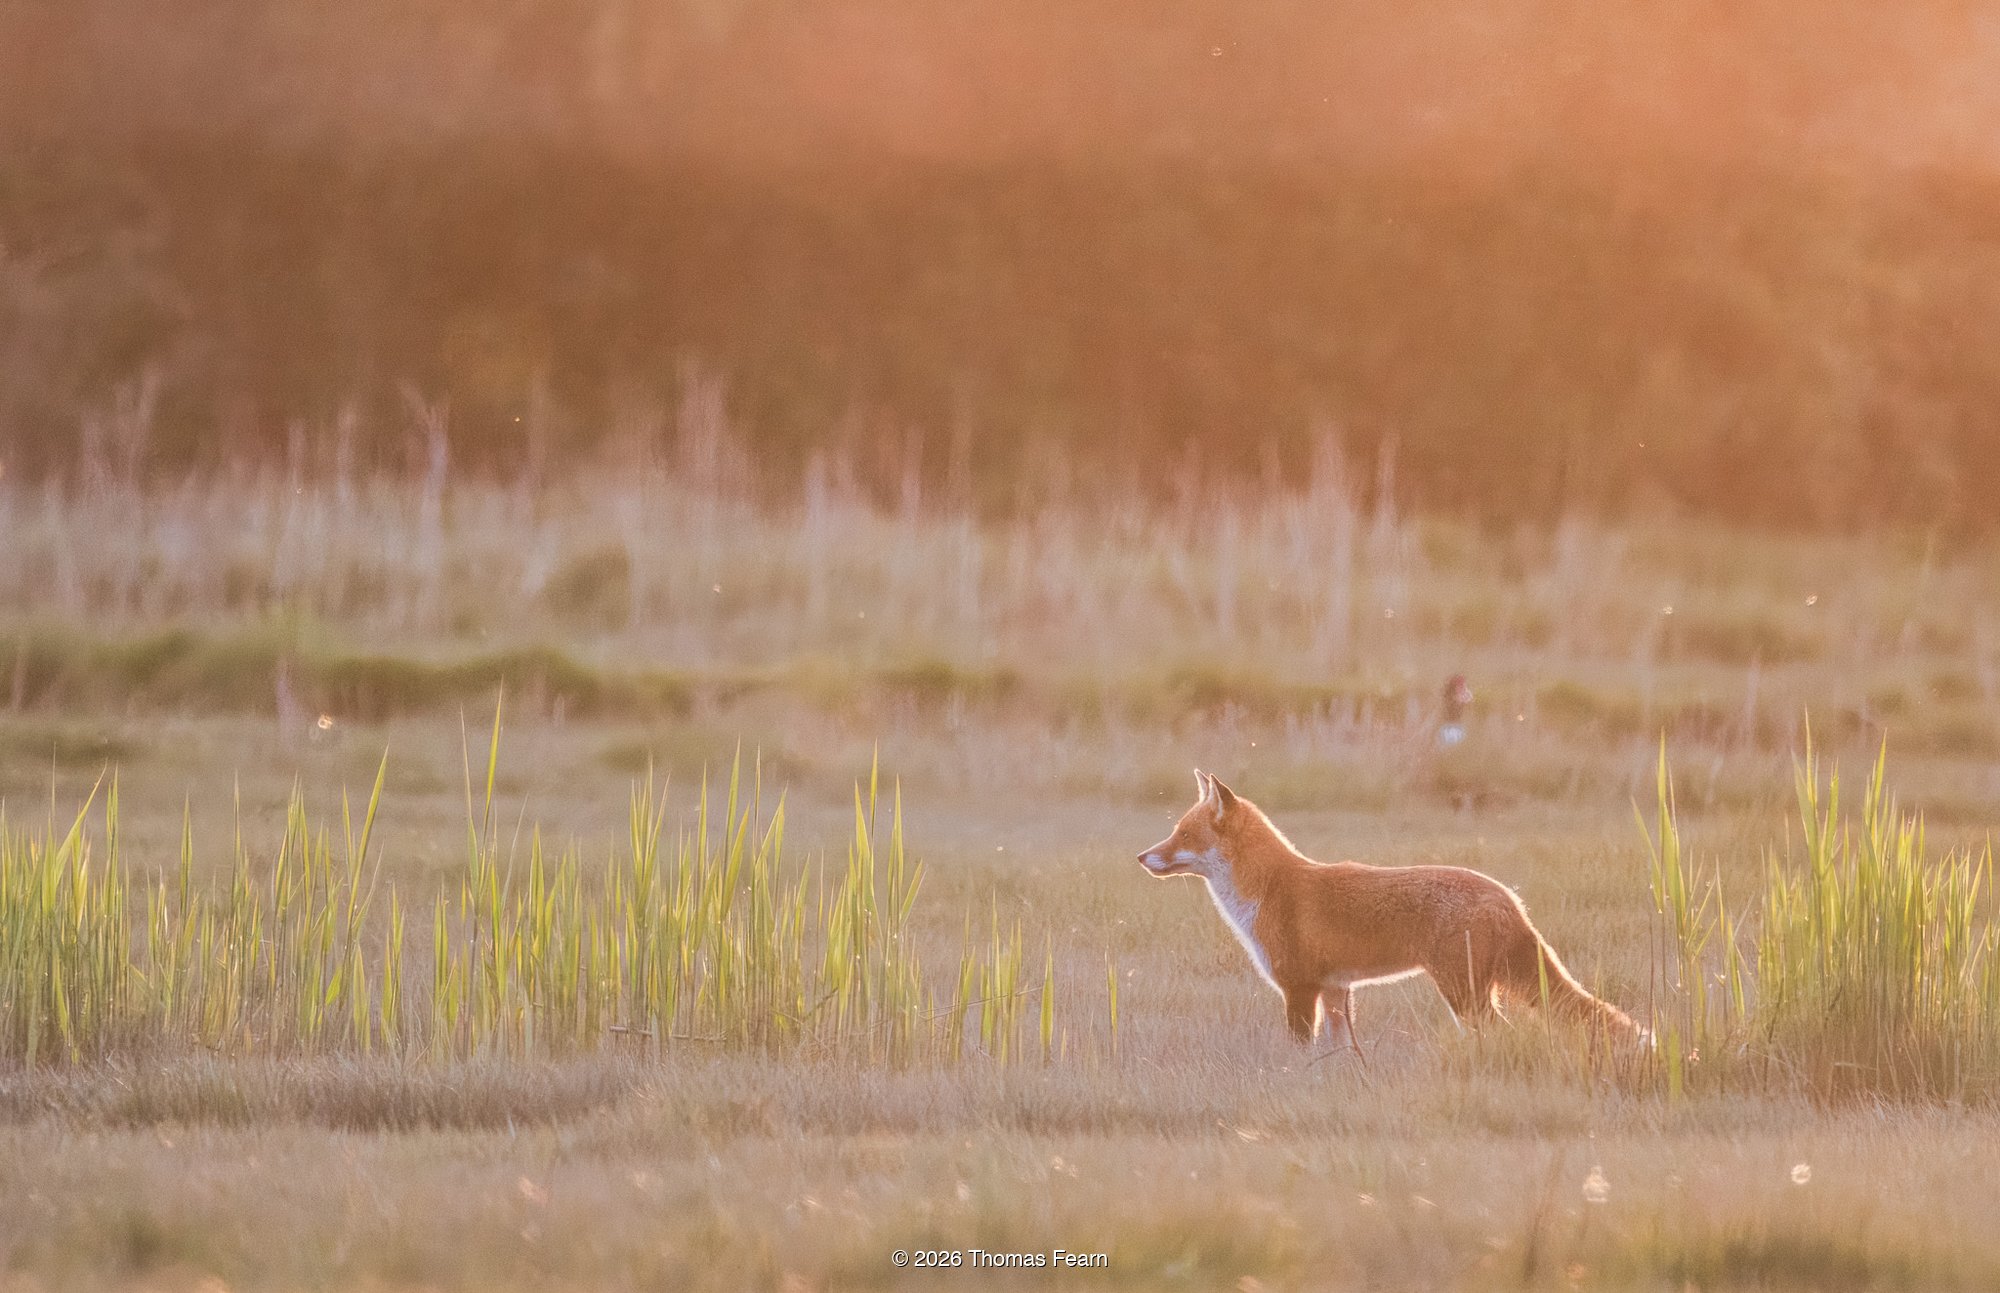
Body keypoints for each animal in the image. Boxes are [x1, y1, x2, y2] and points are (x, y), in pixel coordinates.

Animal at [1137, 771, 1643, 1056]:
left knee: (1499, 1032)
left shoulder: (1299, 988)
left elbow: (1298, 1051)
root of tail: (1510, 898)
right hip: (1472, 991)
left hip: (1461, 994)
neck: (1268, 891)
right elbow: (1338, 1052)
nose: (1142, 857)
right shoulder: (1335, 990)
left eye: (1183, 835)